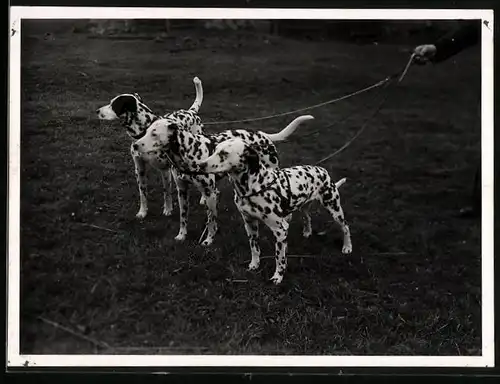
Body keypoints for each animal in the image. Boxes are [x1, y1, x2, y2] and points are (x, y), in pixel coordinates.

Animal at [96, 76, 204, 219]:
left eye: (113, 105)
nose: (97, 111)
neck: (145, 132)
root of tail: (191, 111)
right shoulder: (139, 170)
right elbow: (143, 194)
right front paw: (143, 211)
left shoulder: (165, 170)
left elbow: (167, 192)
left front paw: (168, 209)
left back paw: (203, 198)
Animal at [131, 115, 314, 246]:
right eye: (146, 131)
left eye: (154, 134)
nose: (135, 145)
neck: (189, 152)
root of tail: (263, 135)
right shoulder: (182, 191)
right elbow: (183, 218)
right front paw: (182, 235)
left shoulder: (211, 194)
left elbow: (212, 222)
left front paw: (208, 240)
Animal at [195, 138, 352, 284]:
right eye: (214, 150)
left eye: (224, 153)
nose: (200, 165)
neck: (255, 186)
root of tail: (323, 171)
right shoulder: (250, 224)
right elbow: (254, 248)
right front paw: (254, 264)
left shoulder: (280, 230)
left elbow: (279, 258)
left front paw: (278, 277)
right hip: (303, 207)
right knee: (307, 218)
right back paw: (307, 232)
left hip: (334, 209)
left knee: (345, 227)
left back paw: (347, 247)